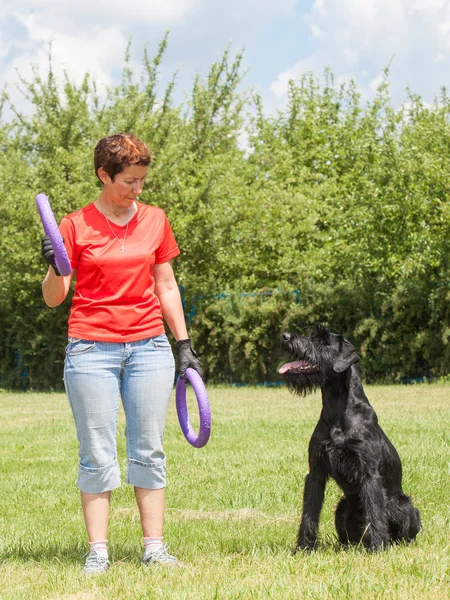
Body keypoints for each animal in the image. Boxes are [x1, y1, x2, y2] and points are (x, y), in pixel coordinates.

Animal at [280, 326, 420, 552]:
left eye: (321, 340)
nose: (285, 336)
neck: (337, 412)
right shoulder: (316, 472)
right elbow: (309, 512)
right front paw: (304, 548)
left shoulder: (369, 473)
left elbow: (375, 512)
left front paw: (378, 548)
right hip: (342, 506)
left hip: (405, 505)